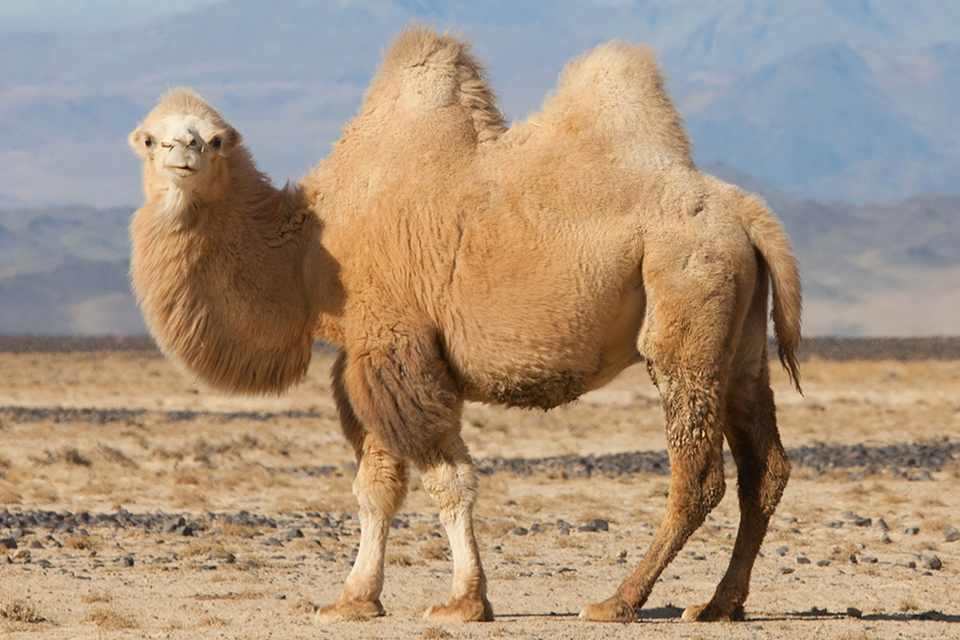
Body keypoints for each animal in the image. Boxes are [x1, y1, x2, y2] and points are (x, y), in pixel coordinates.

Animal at [128, 27, 801, 624]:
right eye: (150, 138)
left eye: (215, 140)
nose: (183, 153)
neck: (310, 251)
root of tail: (747, 212)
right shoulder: (368, 356)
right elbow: (377, 485)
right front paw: (354, 600)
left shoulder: (397, 345)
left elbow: (446, 480)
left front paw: (464, 601)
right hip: (739, 344)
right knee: (765, 468)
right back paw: (718, 604)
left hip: (685, 304)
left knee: (698, 475)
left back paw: (619, 601)